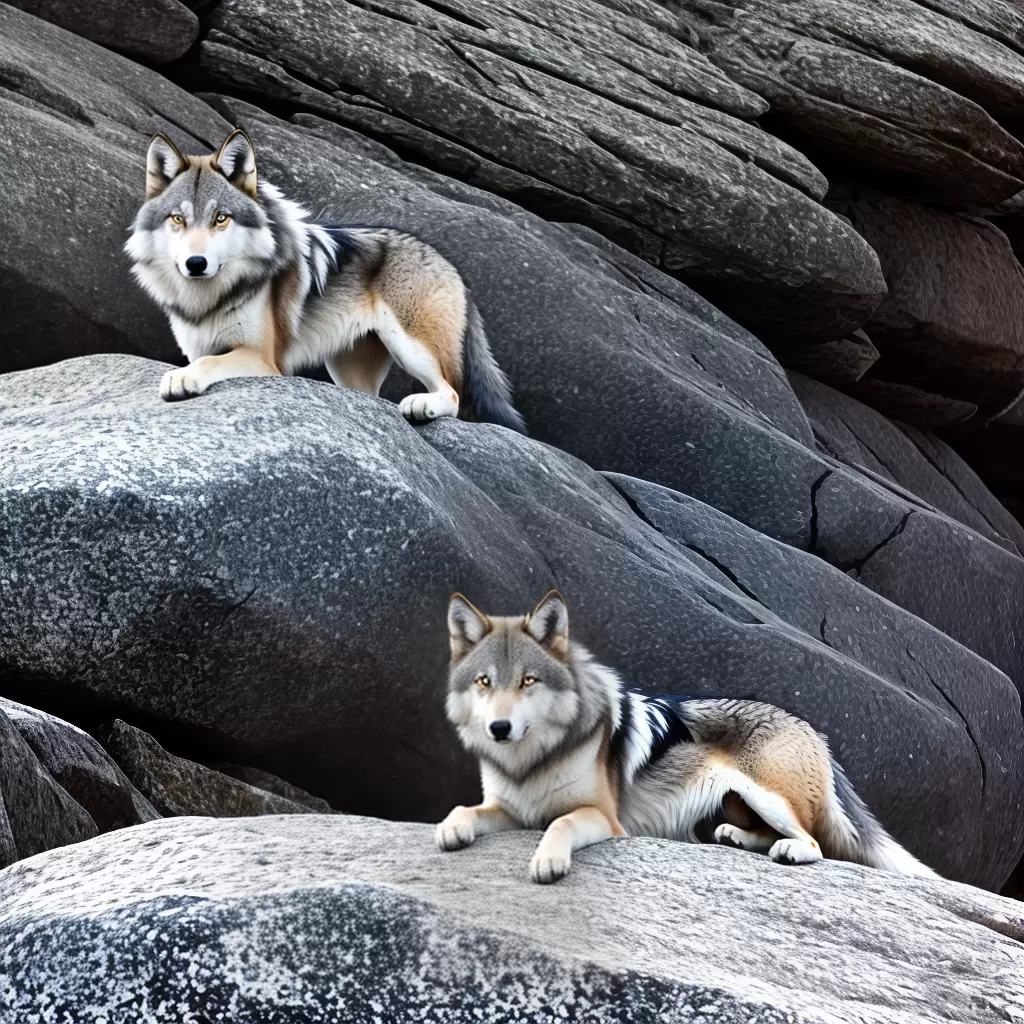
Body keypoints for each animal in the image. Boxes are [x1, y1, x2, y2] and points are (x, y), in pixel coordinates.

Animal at [124, 128, 525, 431]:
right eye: (178, 219)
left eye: (220, 218)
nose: (196, 263)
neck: (209, 298)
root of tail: (449, 263)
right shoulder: (200, 346)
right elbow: (201, 359)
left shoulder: (265, 362)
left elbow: (209, 364)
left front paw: (180, 379)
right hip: (350, 372)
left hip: (410, 347)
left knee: (453, 396)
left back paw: (420, 406)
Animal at [438, 591, 938, 884]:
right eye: (484, 682)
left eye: (528, 681)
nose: (499, 728)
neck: (532, 760)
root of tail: (810, 726)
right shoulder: (508, 809)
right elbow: (464, 809)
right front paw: (450, 830)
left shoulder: (604, 818)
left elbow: (560, 823)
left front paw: (547, 861)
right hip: (739, 802)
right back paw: (737, 839)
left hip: (768, 797)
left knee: (815, 843)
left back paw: (789, 851)